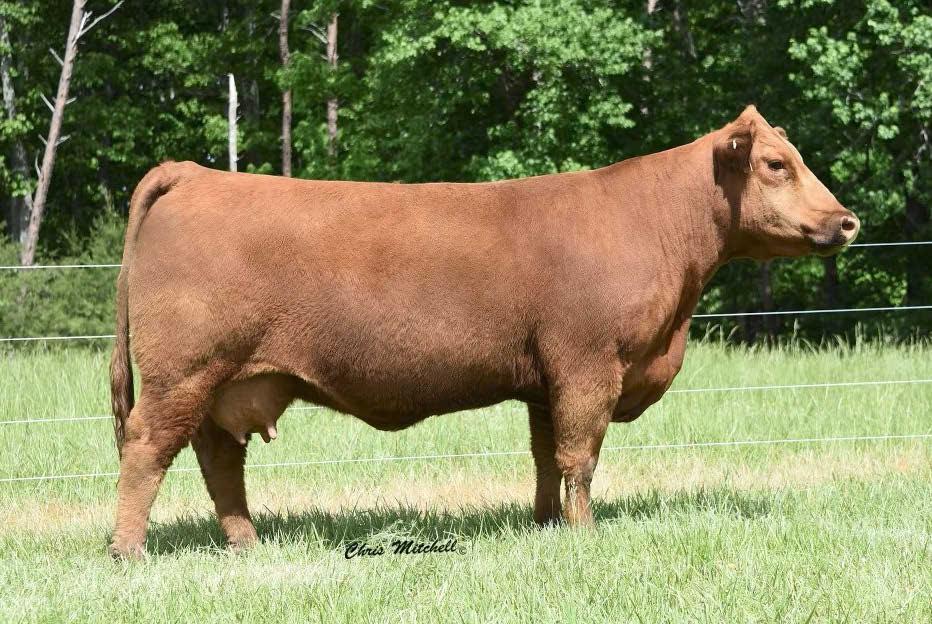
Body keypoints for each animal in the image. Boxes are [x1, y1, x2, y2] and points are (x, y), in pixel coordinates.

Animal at [108, 106, 859, 558]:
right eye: (775, 164)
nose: (847, 220)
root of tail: (196, 173)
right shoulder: (588, 366)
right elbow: (580, 458)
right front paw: (585, 537)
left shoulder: (546, 381)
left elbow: (545, 456)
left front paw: (545, 526)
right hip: (184, 373)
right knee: (147, 450)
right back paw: (129, 551)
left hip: (224, 383)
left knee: (217, 460)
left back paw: (247, 545)